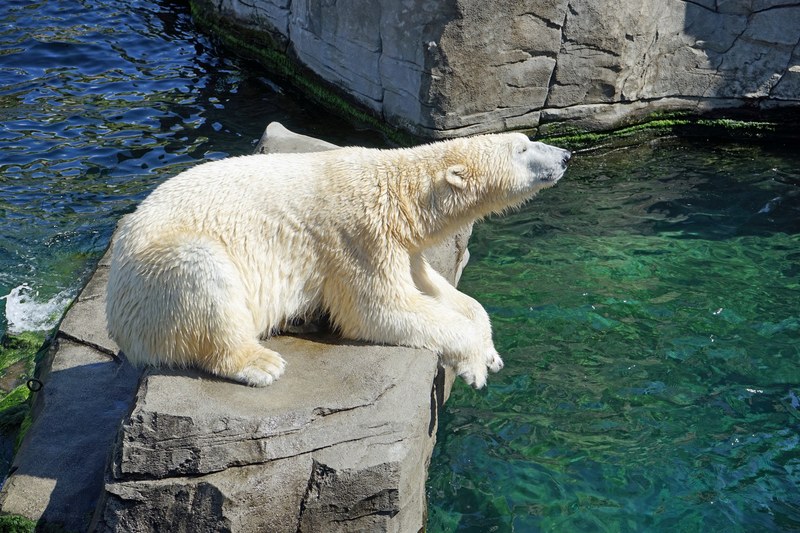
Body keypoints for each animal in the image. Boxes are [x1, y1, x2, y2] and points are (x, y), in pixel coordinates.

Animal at [105, 133, 570, 389]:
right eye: (523, 147)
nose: (566, 156)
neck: (399, 192)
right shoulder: (358, 236)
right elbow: (379, 309)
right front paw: (474, 364)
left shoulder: (400, 244)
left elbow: (439, 291)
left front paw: (490, 351)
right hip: (156, 274)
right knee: (203, 273)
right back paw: (260, 363)